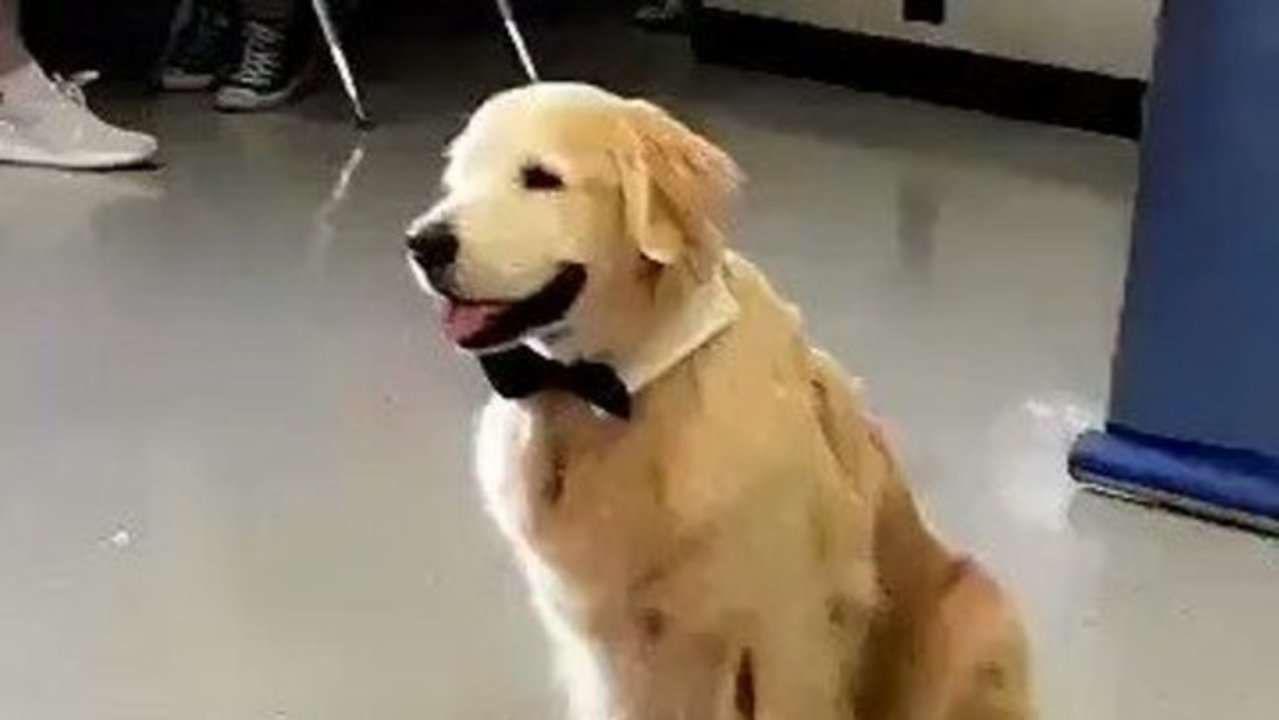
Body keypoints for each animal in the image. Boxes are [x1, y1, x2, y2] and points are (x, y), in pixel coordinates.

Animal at [404, 81, 1033, 716]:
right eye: (458, 179)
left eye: (541, 178)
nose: (422, 243)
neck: (605, 392)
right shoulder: (601, 642)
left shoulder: (785, 629)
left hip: (974, 614)